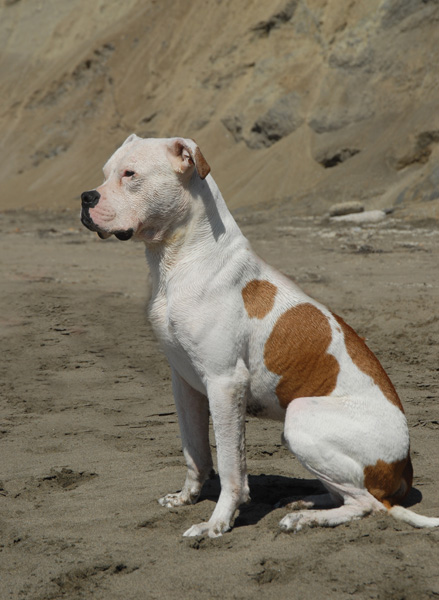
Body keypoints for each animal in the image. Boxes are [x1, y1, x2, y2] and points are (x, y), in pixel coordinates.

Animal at [81, 137, 438, 540]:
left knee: (367, 504)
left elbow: (231, 466)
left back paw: (306, 519)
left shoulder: (225, 383)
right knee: (348, 495)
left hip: (300, 417)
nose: (86, 197)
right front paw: (186, 498)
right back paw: (305, 503)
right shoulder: (184, 383)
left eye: (130, 174)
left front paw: (217, 522)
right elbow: (195, 451)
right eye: (106, 172)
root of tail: (406, 468)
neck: (180, 260)